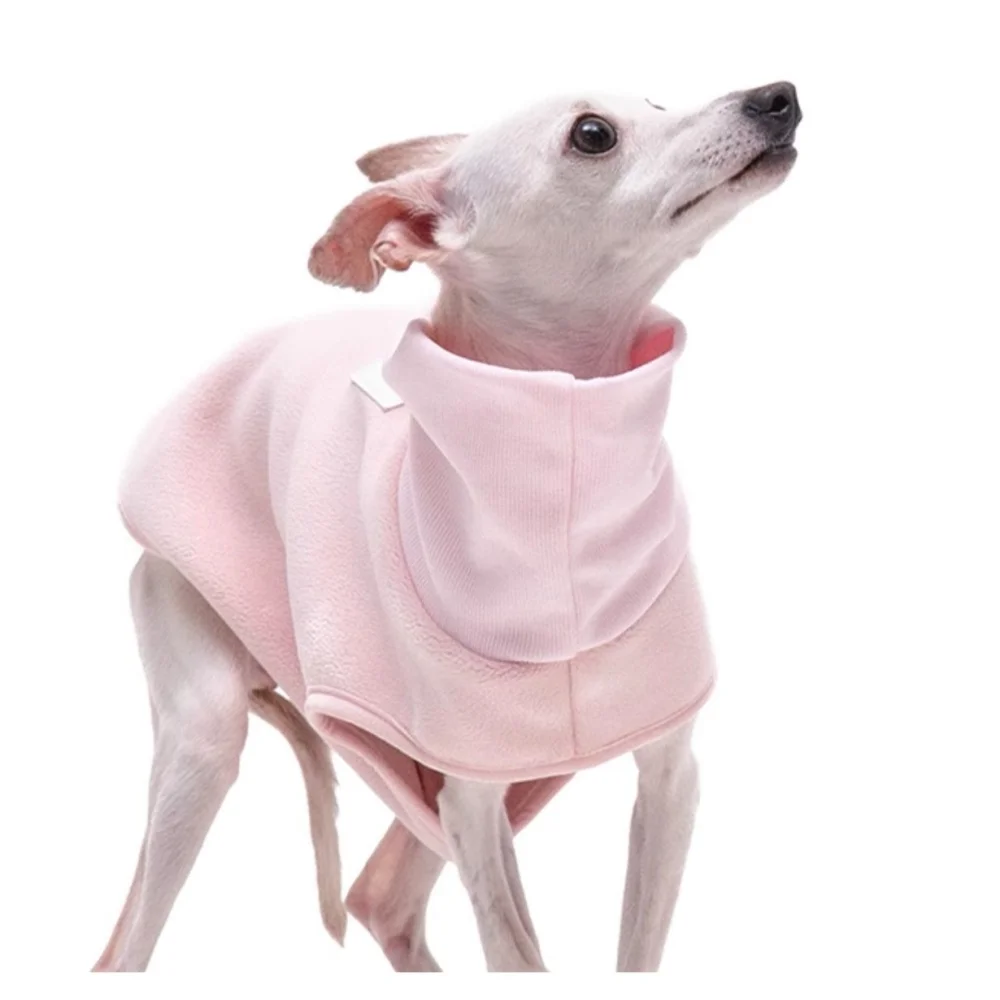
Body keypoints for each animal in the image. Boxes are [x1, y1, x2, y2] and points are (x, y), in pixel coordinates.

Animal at [93, 82, 801, 973]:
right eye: (592, 134)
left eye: (655, 100)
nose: (777, 97)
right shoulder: (471, 792)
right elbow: (517, 952)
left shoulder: (669, 773)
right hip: (205, 723)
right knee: (131, 943)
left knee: (380, 895)